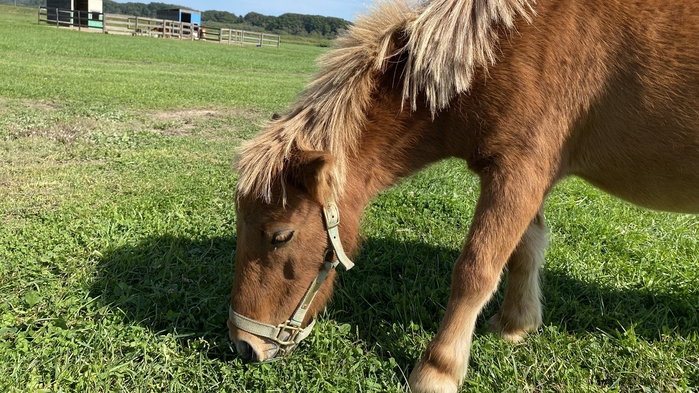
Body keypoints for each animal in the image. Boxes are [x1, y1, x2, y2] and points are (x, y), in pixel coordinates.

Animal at [228, 0, 699, 388]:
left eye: (281, 236)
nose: (243, 345)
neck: (502, 43)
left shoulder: (520, 171)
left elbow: (476, 268)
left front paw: (437, 371)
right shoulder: (525, 178)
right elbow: (525, 249)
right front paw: (515, 325)